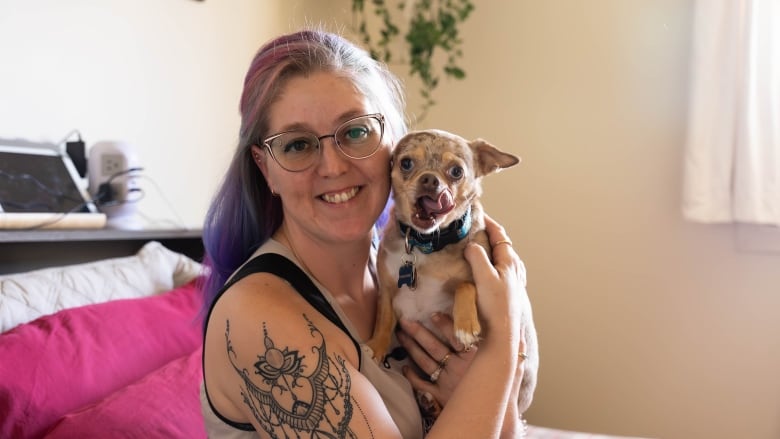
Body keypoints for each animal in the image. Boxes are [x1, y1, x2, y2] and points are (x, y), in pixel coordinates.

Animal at [366, 127, 536, 412]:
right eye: (406, 163)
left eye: (456, 171)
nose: (429, 180)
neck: (426, 246)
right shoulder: (387, 291)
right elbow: (383, 319)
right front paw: (376, 347)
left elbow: (465, 284)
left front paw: (465, 326)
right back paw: (428, 401)